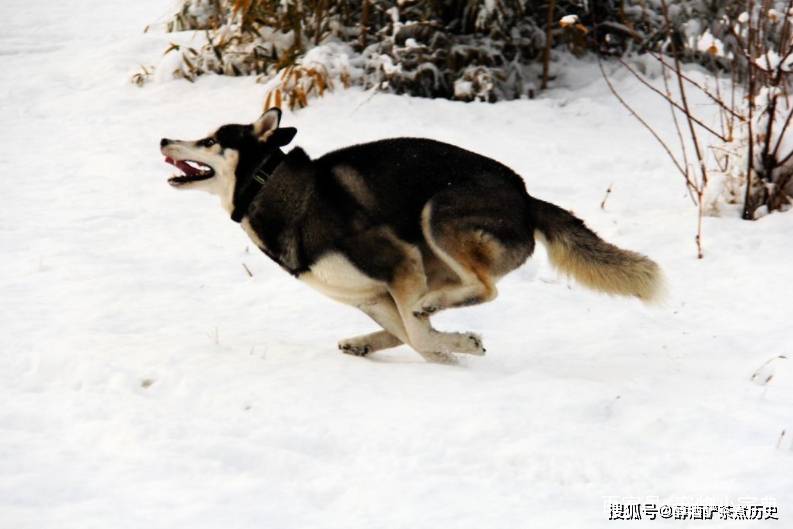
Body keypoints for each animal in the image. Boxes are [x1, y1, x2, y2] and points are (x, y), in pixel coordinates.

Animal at [161, 108, 664, 364]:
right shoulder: (372, 295)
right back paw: (369, 340)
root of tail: (524, 196)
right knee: (428, 313)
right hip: (431, 262)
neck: (271, 187)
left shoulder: (399, 266)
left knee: (483, 289)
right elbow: (414, 337)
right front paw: (448, 353)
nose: (165, 140)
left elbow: (421, 338)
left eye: (210, 140)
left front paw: (463, 346)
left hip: (438, 216)